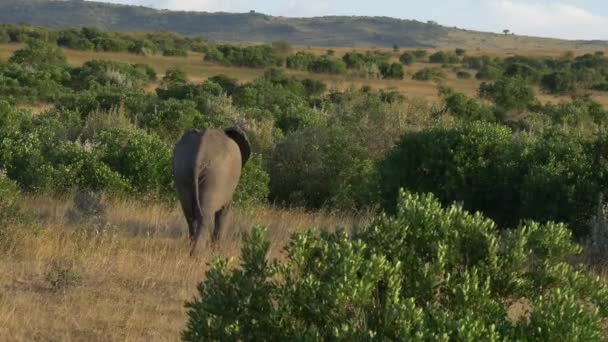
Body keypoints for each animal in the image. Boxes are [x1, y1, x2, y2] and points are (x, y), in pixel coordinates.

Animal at [173, 127, 252, 255]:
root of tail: (199, 154)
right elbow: (224, 211)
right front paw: (218, 251)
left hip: (182, 171)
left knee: (189, 214)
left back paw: (191, 249)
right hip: (216, 176)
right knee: (205, 214)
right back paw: (196, 254)